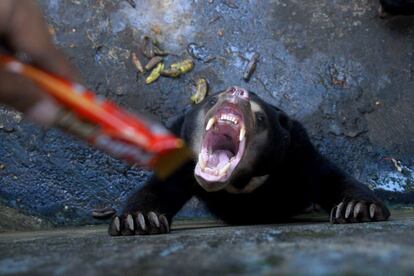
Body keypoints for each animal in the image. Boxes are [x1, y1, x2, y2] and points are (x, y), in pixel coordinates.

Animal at [108, 86, 390, 235]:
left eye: (260, 117)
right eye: (213, 99)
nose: (236, 91)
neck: (239, 181)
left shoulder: (296, 154)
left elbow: (328, 177)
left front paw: (358, 208)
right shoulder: (183, 156)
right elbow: (158, 189)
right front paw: (138, 220)